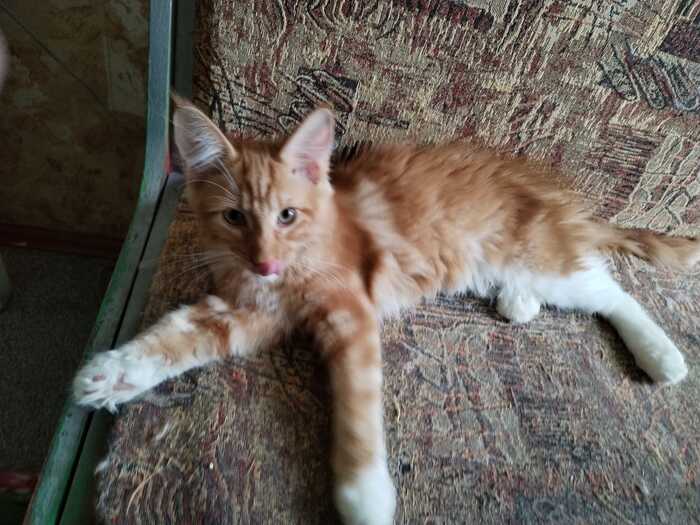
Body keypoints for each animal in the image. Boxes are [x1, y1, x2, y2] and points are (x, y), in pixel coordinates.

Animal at [74, 97, 698, 525]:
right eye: (234, 218)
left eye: (287, 216)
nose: (264, 262)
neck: (290, 271)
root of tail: (562, 196)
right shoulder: (243, 312)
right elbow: (171, 336)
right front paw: (109, 374)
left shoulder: (350, 313)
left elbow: (356, 412)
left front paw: (364, 499)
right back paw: (517, 303)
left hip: (543, 257)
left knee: (612, 291)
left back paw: (662, 356)